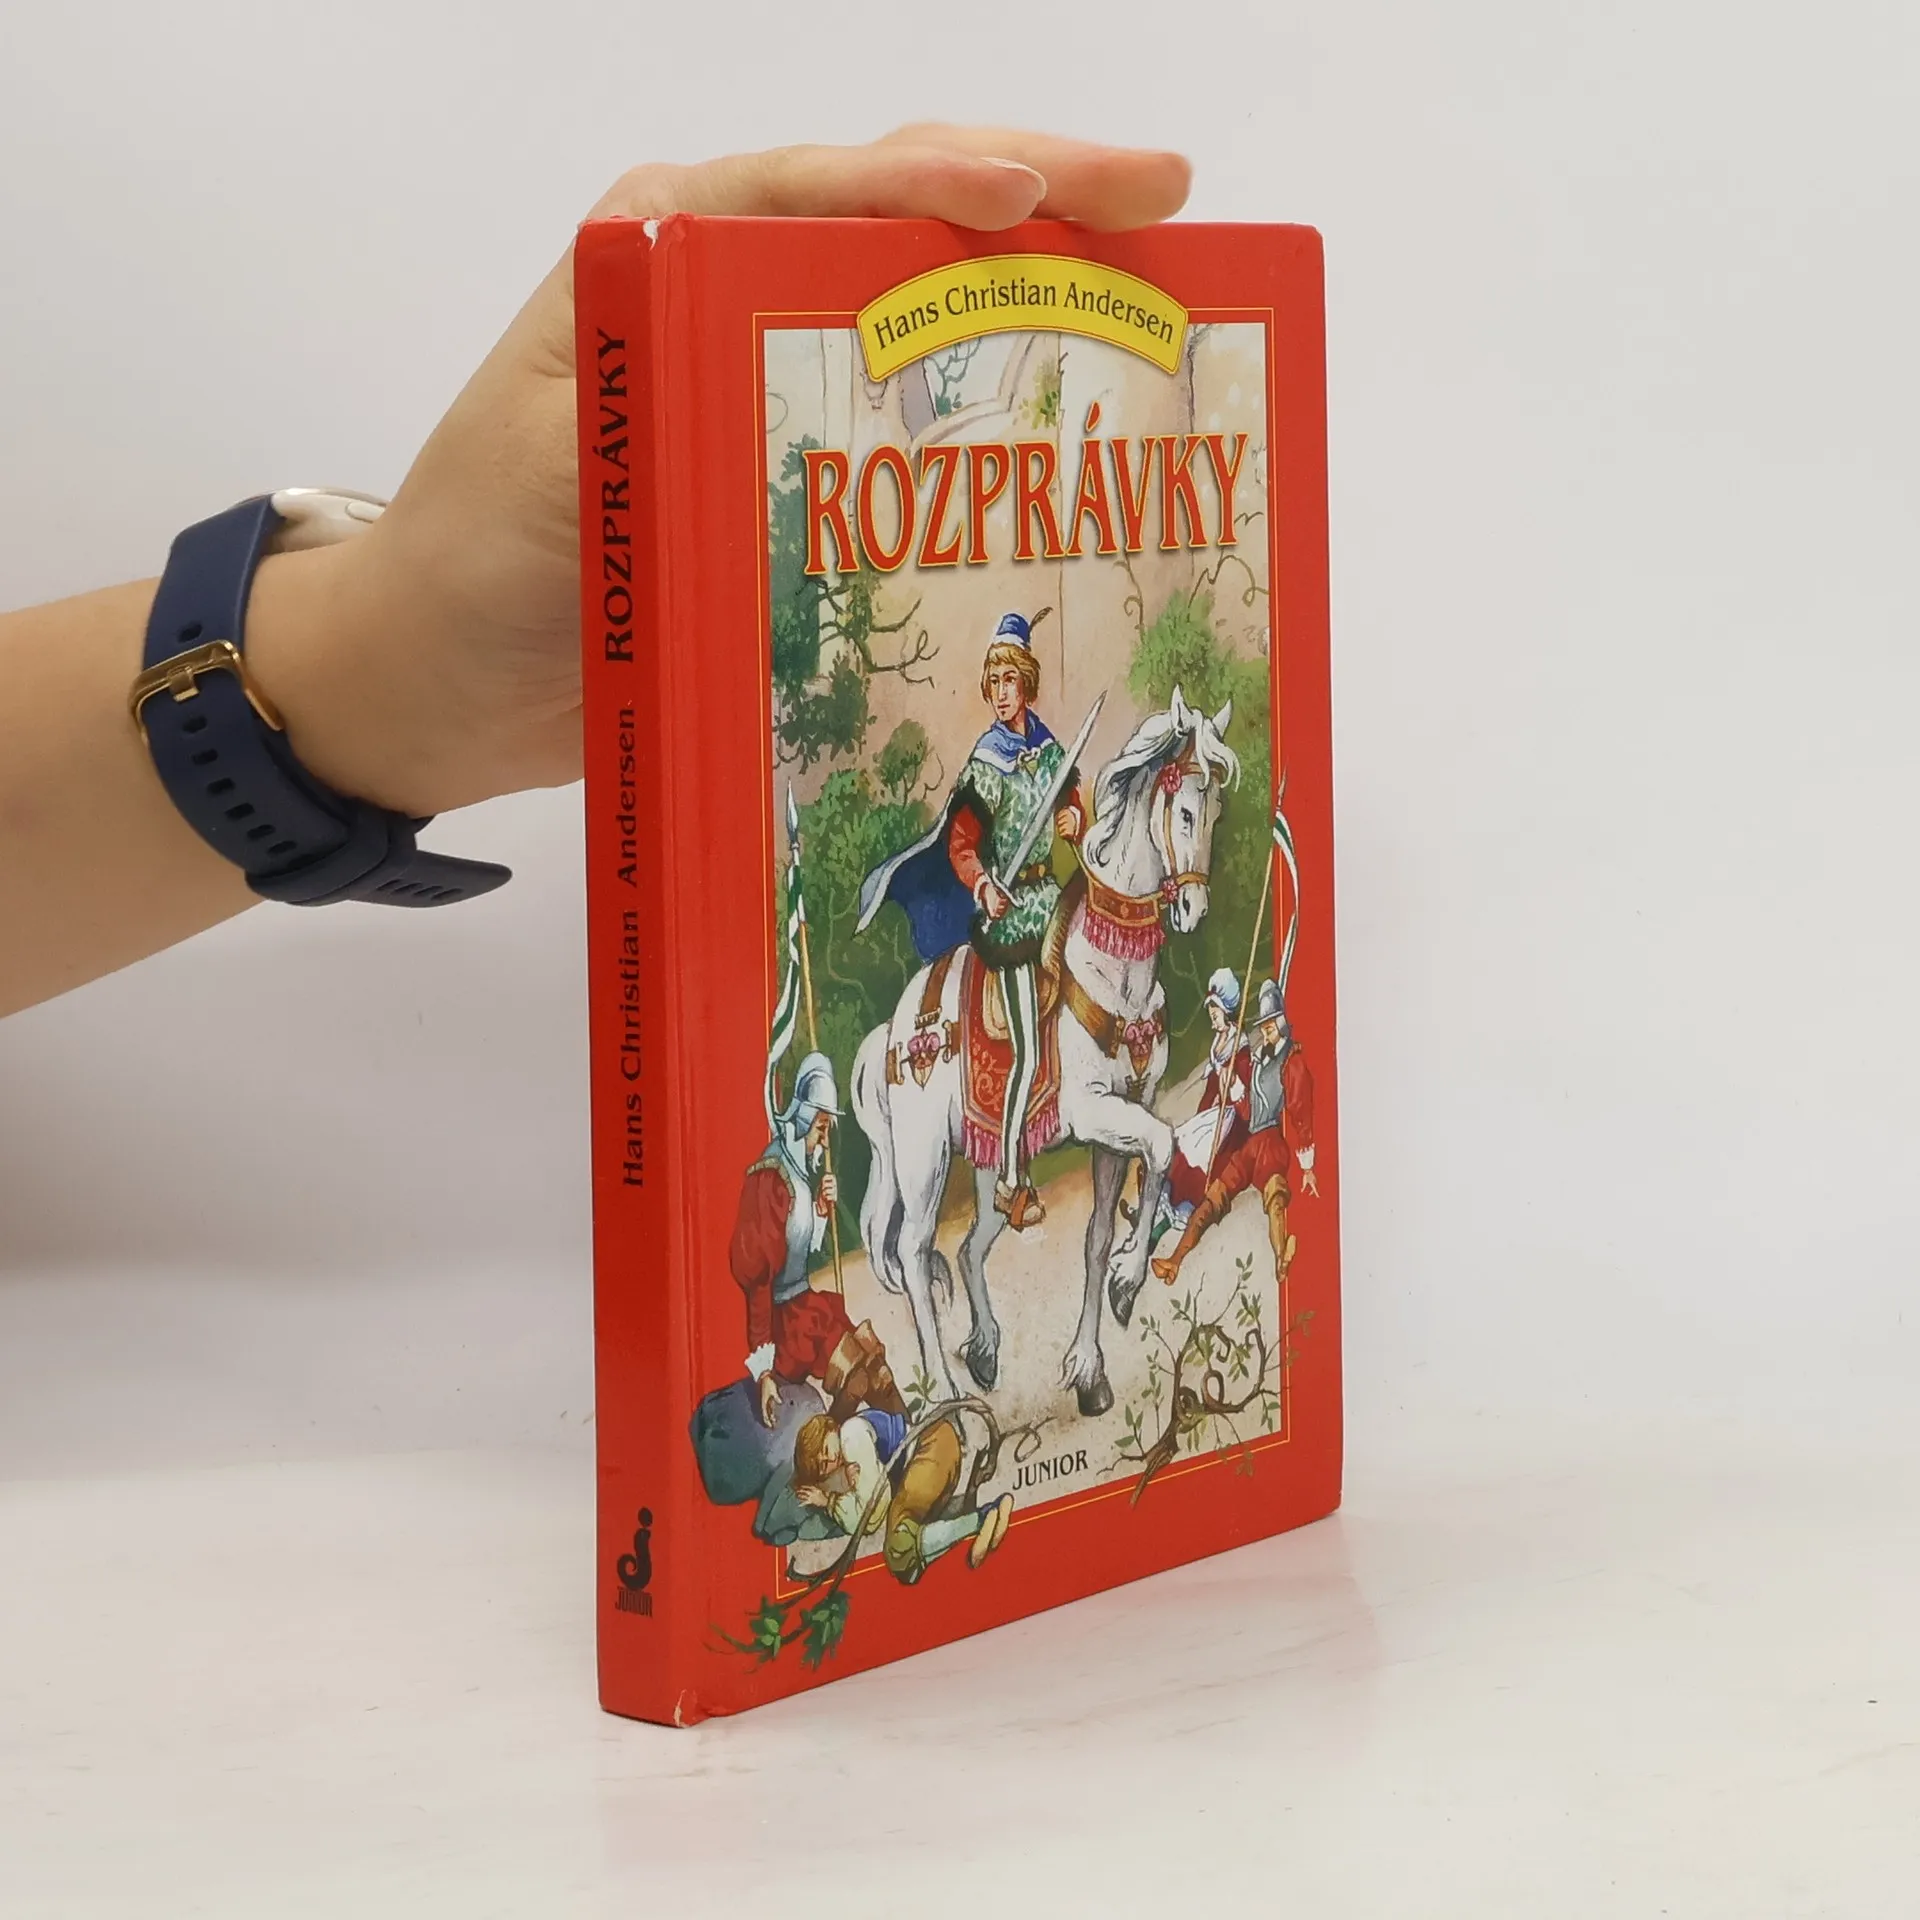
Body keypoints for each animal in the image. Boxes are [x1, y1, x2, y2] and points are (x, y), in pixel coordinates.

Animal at [851, 688, 1239, 1417]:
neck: (1113, 968)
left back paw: (982, 1351)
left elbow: (1096, 1235)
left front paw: (1089, 1363)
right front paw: (1129, 1278)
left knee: (969, 1248)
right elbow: (1167, 1144)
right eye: (1183, 810)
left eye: (1216, 812)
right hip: (922, 1158)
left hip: (983, 1165)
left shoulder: (1121, 1122)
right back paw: (945, 1394)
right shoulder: (1095, 1113)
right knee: (915, 1252)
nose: (1195, 910)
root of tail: (889, 1033)